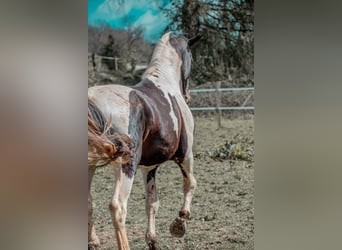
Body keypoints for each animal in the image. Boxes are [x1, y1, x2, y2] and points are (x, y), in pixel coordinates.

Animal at [87, 31, 200, 250]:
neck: (165, 82)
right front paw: (180, 223)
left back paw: (93, 242)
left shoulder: (149, 167)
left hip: (90, 165)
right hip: (126, 165)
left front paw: (152, 240)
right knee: (117, 207)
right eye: (191, 54)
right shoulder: (186, 155)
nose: (189, 95)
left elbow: (152, 203)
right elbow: (190, 184)